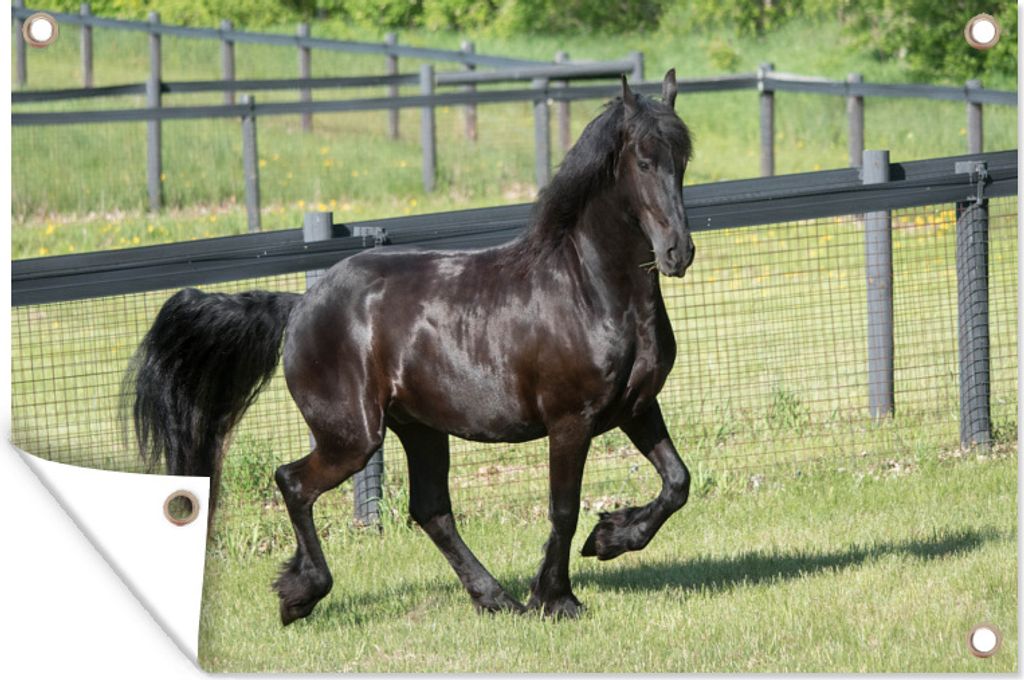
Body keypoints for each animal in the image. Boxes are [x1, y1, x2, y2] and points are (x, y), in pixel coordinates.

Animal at [126, 71, 695, 623]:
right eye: (644, 160)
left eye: (683, 159)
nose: (678, 252)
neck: (588, 291)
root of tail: (300, 305)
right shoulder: (569, 421)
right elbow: (564, 508)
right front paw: (558, 599)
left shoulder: (635, 407)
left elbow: (677, 482)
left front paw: (609, 538)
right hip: (354, 437)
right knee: (294, 482)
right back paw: (300, 596)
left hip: (420, 428)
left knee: (430, 510)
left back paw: (496, 599)